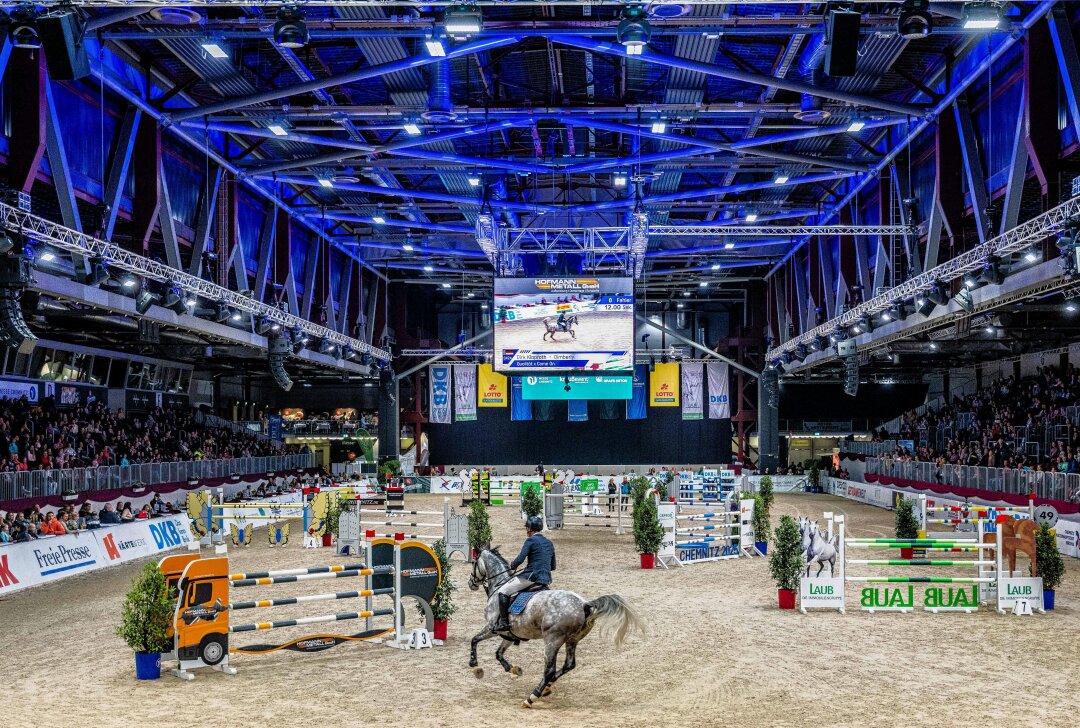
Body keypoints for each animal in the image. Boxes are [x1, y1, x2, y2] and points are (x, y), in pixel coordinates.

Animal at [470, 546, 639, 704]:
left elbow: (475, 640)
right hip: (572, 640)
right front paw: (512, 669)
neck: (499, 585)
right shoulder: (509, 634)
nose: (471, 583)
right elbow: (498, 653)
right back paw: (547, 687)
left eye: (473, 563)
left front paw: (475, 666)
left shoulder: (492, 628)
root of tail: (584, 604)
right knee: (569, 665)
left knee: (549, 670)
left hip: (552, 640)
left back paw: (532, 697)